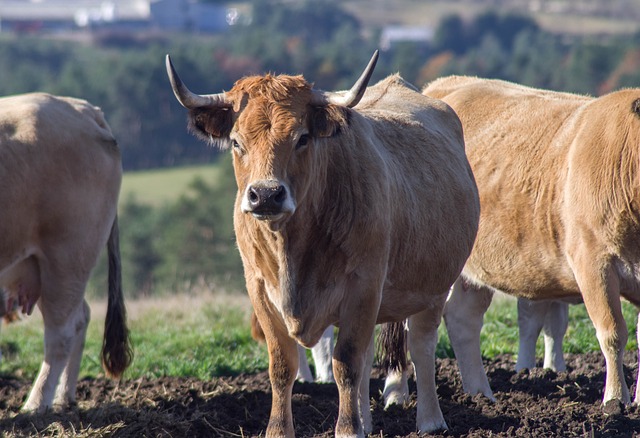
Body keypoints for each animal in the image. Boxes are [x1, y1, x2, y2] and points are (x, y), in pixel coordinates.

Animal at [0, 92, 132, 410]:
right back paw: (63, 398)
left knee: (62, 332)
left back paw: (35, 405)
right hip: (41, 266)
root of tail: (82, 108)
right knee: (80, 316)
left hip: (67, 256)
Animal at [165, 51, 480, 434]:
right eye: (237, 142)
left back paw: (430, 421)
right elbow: (282, 366)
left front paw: (347, 429)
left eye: (302, 138)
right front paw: (280, 430)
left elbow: (345, 363)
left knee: (421, 346)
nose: (265, 195)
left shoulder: (364, 286)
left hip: (433, 286)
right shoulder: (259, 290)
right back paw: (367, 422)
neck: (292, 250)